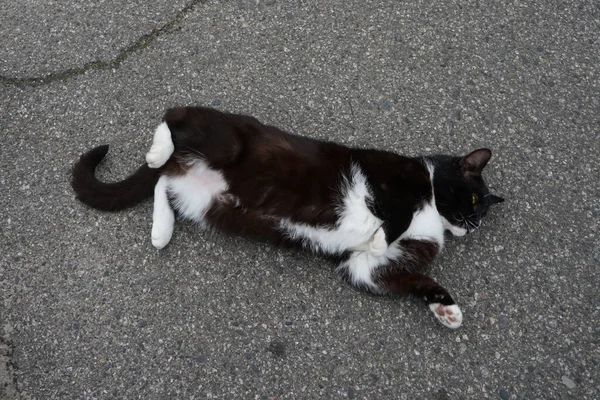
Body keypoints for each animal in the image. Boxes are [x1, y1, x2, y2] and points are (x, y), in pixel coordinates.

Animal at [72, 105, 504, 328]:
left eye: (482, 211)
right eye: (470, 198)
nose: (473, 225)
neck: (431, 205)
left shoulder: (366, 268)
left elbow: (414, 280)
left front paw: (447, 309)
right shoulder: (386, 182)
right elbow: (395, 214)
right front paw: (383, 233)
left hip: (206, 205)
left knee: (164, 183)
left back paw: (161, 229)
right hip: (226, 139)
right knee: (176, 117)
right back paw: (158, 150)